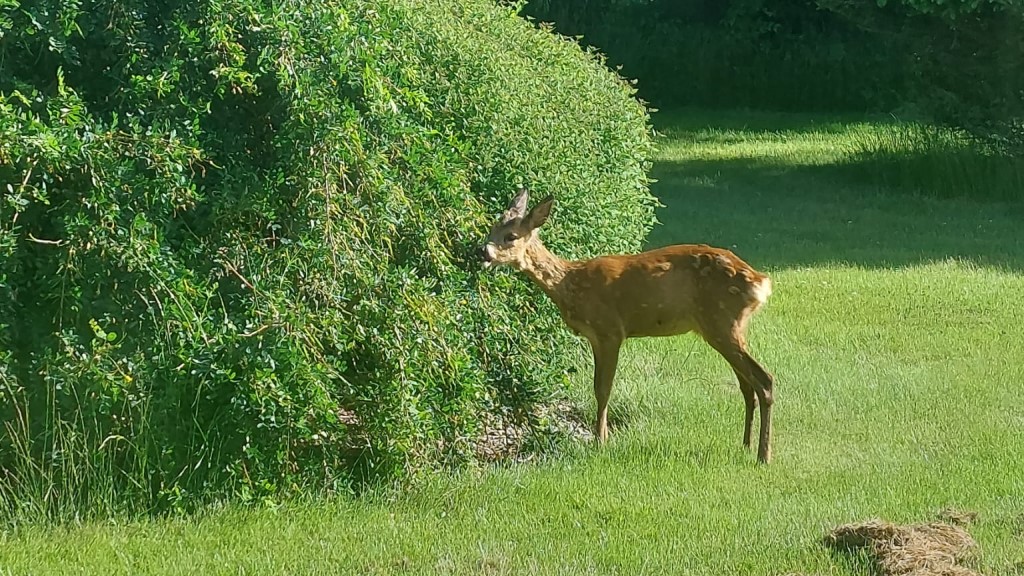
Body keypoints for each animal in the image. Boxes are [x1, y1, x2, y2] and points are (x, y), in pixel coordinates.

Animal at [480, 187, 777, 463]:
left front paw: (600, 441)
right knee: (747, 384)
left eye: (511, 236)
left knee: (763, 379)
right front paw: (601, 438)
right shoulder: (597, 336)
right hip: (725, 326)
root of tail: (760, 281)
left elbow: (603, 388)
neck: (570, 284)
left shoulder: (609, 330)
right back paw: (746, 445)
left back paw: (763, 455)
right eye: (492, 229)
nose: (482, 251)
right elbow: (598, 387)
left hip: (721, 321)